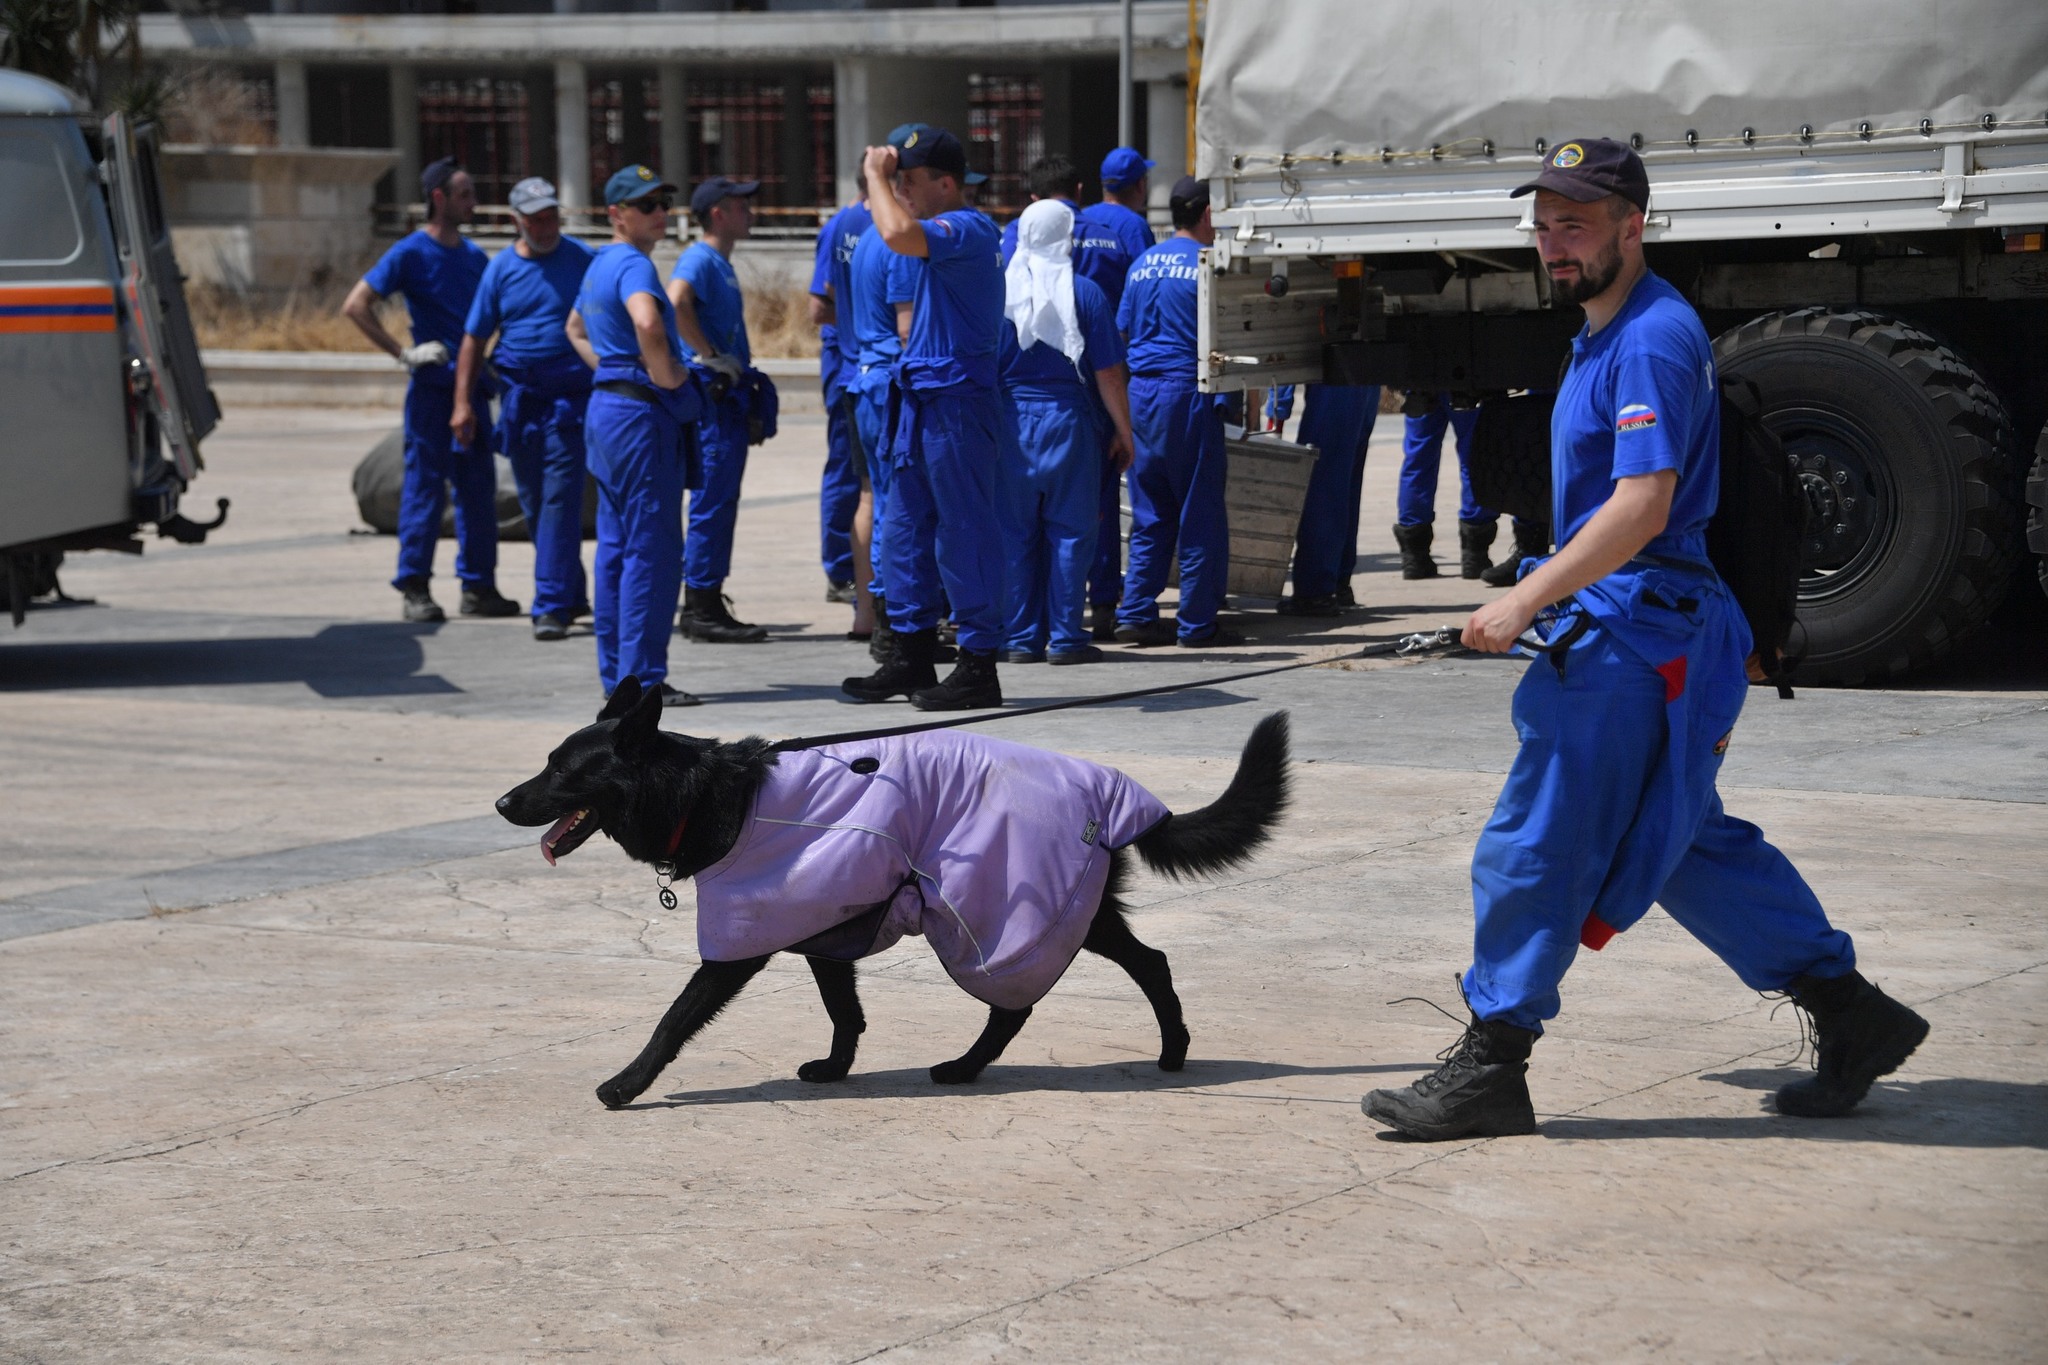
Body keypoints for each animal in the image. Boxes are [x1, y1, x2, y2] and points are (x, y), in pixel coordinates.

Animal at [495, 683, 1286, 1113]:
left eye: (563, 769)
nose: (502, 802)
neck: (704, 792)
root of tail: (1114, 795)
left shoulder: (735, 950)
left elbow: (672, 1020)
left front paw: (626, 1083)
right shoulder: (824, 930)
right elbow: (845, 1011)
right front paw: (836, 1070)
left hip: (989, 916)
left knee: (1019, 1002)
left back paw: (970, 1066)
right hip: (1073, 910)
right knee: (1149, 961)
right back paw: (1171, 1050)